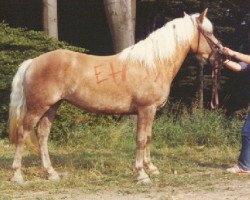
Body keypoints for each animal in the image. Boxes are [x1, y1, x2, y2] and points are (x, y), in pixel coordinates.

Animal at [8, 9, 219, 184]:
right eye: (208, 33)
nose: (220, 52)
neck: (153, 63)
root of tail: (33, 62)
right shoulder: (145, 110)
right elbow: (141, 139)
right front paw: (142, 174)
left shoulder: (151, 112)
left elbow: (149, 137)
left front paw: (151, 168)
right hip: (37, 107)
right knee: (23, 133)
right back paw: (17, 175)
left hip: (52, 106)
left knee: (42, 135)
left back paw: (51, 173)